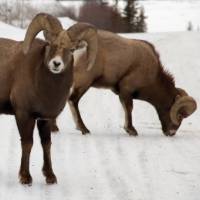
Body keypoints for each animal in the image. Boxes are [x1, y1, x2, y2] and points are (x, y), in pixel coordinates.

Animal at [0, 12, 97, 184]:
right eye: (51, 44)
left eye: (71, 49)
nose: (56, 64)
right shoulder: (24, 115)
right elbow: (27, 143)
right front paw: (25, 177)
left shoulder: (44, 119)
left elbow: (46, 144)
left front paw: (50, 176)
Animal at [50, 28, 196, 137]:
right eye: (180, 115)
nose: (171, 133)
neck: (152, 75)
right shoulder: (127, 90)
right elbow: (129, 108)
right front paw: (131, 130)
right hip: (84, 83)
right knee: (73, 100)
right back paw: (84, 129)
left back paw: (54, 128)